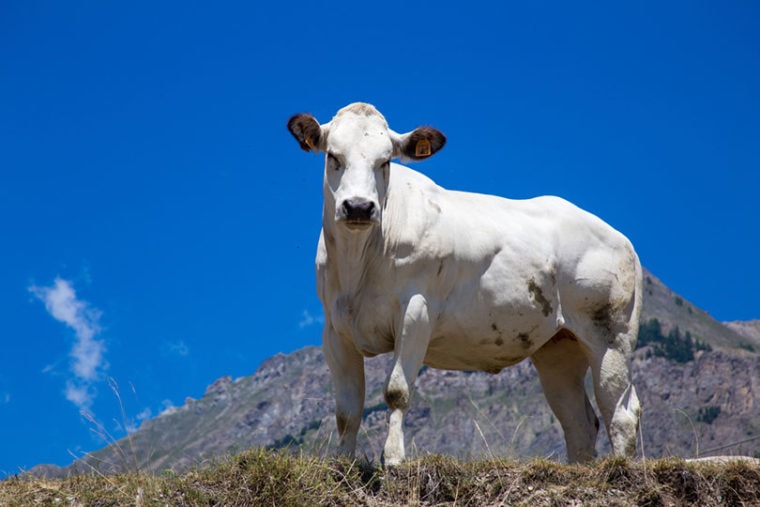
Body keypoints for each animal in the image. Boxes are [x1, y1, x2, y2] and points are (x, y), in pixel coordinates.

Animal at [286, 104, 640, 468]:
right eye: (333, 156)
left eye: (385, 161)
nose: (358, 207)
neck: (359, 264)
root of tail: (618, 236)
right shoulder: (335, 328)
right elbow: (347, 408)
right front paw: (342, 464)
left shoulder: (416, 311)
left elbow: (396, 391)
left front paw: (395, 459)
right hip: (557, 345)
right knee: (578, 420)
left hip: (610, 332)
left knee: (620, 411)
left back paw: (620, 469)